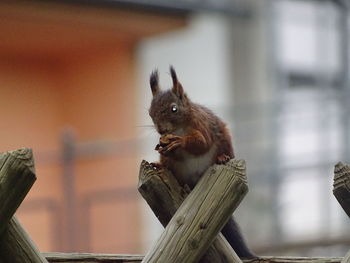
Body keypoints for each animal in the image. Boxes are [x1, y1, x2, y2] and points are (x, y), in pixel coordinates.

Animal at [149, 66, 256, 260]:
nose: (161, 130)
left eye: (174, 109)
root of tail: (194, 182)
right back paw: (162, 167)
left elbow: (202, 143)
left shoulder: (201, 125)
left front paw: (180, 142)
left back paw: (222, 158)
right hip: (177, 171)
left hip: (225, 141)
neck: (179, 128)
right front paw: (162, 146)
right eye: (150, 112)